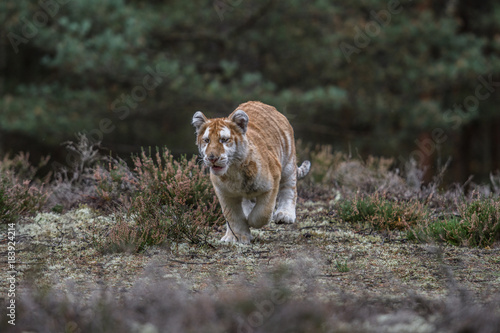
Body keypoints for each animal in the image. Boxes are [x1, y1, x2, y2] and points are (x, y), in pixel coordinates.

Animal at [191, 100, 308, 243]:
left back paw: (285, 215)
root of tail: (261, 103)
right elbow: (233, 216)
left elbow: (262, 212)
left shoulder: (273, 180)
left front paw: (251, 221)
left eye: (224, 140)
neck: (233, 172)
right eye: (207, 140)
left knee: (290, 189)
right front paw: (237, 236)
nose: (212, 158)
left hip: (288, 164)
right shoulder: (224, 193)